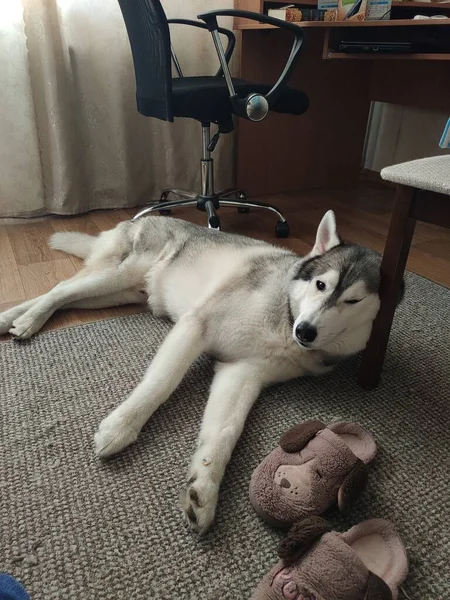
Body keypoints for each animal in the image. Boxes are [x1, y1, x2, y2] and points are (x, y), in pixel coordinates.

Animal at [0, 211, 382, 536]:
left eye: (352, 301)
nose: (305, 331)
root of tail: (143, 217)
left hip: (118, 293)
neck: (284, 316)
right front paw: (121, 426)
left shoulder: (242, 373)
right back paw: (29, 319)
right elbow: (160, 384)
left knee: (64, 295)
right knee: (61, 289)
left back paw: (13, 318)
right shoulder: (195, 325)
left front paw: (204, 487)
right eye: (320, 285)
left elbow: (225, 432)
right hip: (119, 275)